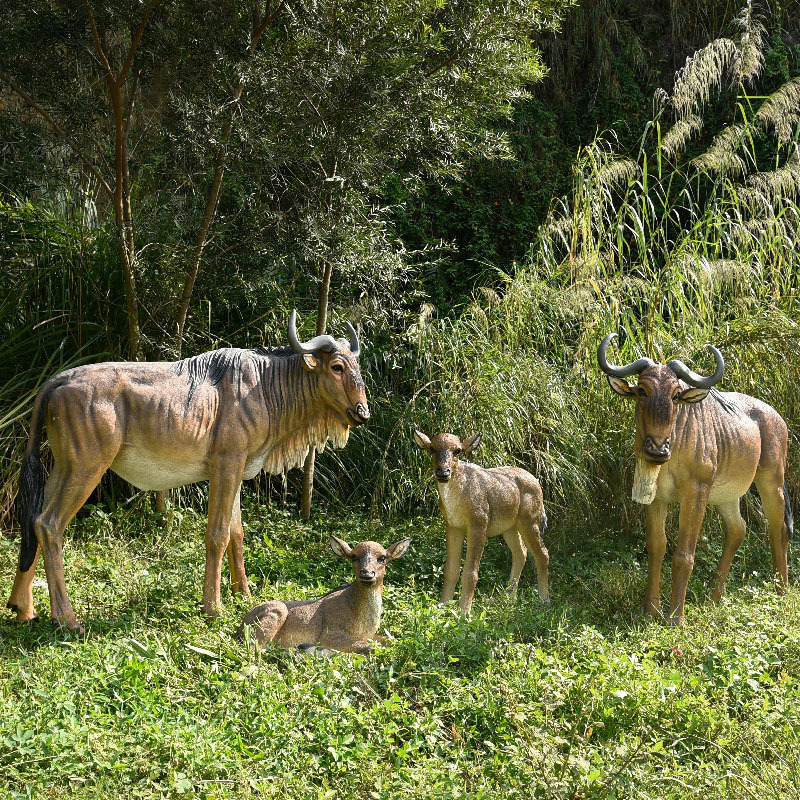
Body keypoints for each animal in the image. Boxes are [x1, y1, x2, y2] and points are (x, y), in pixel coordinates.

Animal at [234, 536, 410, 652]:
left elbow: (392, 641)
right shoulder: (328, 633)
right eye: (354, 557)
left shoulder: (368, 635)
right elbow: (369, 648)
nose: (367, 573)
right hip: (275, 612)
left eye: (383, 558)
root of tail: (240, 629)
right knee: (255, 649)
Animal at [412, 432, 552, 612]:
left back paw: (544, 600)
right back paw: (510, 598)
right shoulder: (453, 526)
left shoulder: (479, 523)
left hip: (530, 520)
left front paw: (464, 611)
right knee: (521, 552)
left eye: (458, 450)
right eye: (432, 449)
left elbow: (470, 572)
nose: (443, 472)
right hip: (509, 527)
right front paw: (442, 605)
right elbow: (450, 569)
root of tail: (537, 483)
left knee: (543, 554)